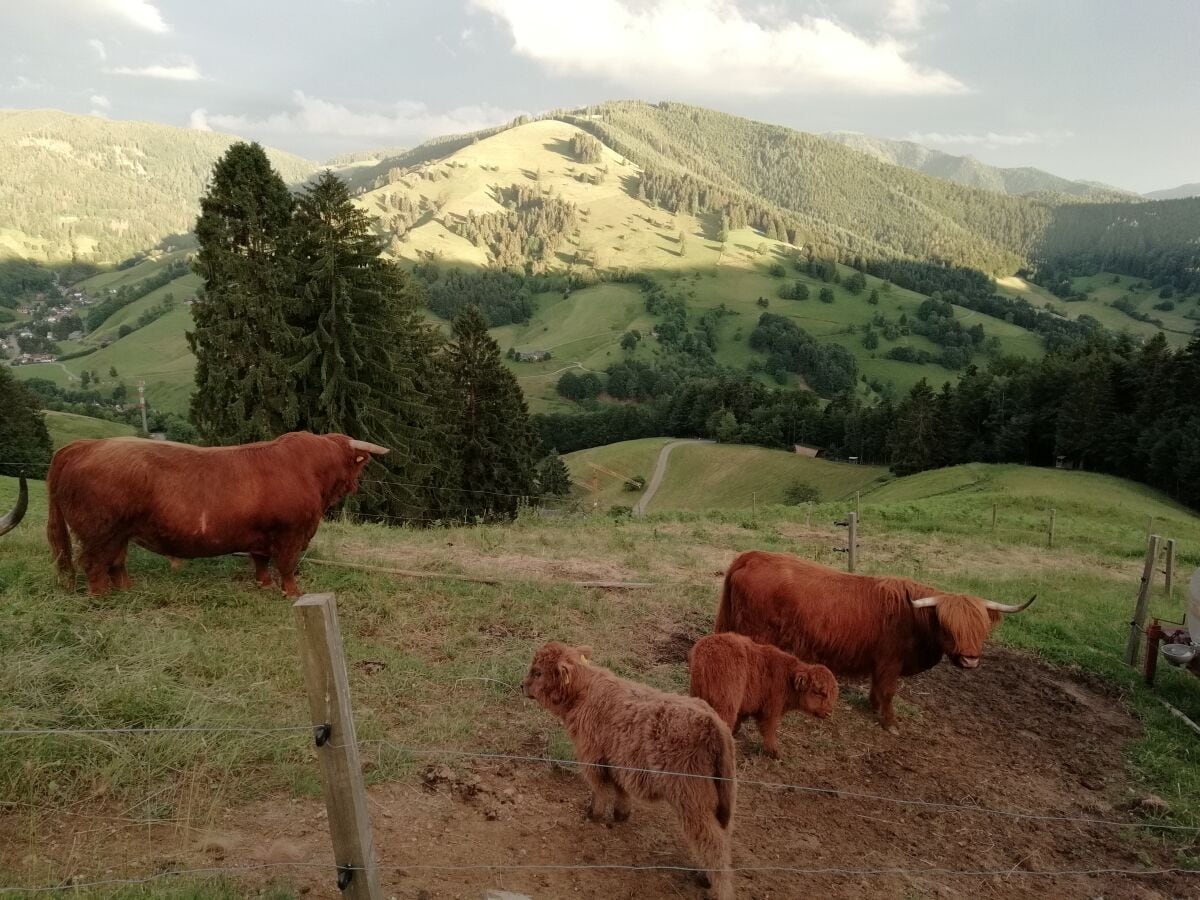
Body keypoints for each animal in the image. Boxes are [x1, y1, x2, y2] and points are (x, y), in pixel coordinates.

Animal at [45, 432, 384, 600]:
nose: (358, 485)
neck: (310, 469)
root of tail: (85, 446)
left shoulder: (261, 535)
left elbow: (260, 561)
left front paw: (263, 585)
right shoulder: (291, 534)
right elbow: (287, 566)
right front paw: (292, 593)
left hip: (118, 533)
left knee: (116, 561)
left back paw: (126, 589)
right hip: (99, 532)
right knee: (94, 564)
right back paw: (100, 598)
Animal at [525, 643, 739, 900]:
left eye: (538, 672)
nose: (522, 685)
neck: (584, 692)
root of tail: (712, 721)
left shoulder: (592, 756)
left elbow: (600, 788)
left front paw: (593, 814)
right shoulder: (617, 760)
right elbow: (620, 789)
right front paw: (621, 814)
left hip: (693, 801)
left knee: (713, 845)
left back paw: (718, 888)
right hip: (722, 800)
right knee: (722, 838)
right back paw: (703, 875)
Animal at [691, 633, 840, 763]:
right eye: (820, 692)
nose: (828, 712)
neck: (787, 678)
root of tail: (706, 651)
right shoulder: (771, 710)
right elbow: (769, 730)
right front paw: (775, 753)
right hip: (726, 705)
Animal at [710, 554, 1032, 734]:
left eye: (981, 628)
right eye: (948, 626)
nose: (969, 660)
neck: (911, 617)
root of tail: (753, 556)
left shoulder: (880, 662)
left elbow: (878, 689)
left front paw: (873, 706)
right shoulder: (890, 661)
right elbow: (889, 691)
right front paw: (890, 723)